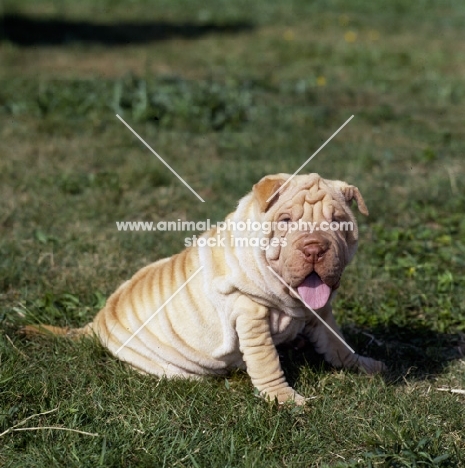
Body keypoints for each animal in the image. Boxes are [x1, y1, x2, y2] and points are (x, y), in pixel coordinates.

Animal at [27, 174, 386, 404]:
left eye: (338, 221)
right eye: (285, 221)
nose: (314, 248)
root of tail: (98, 321)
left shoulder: (321, 311)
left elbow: (337, 342)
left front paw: (364, 365)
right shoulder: (250, 317)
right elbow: (266, 361)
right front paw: (283, 398)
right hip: (169, 368)